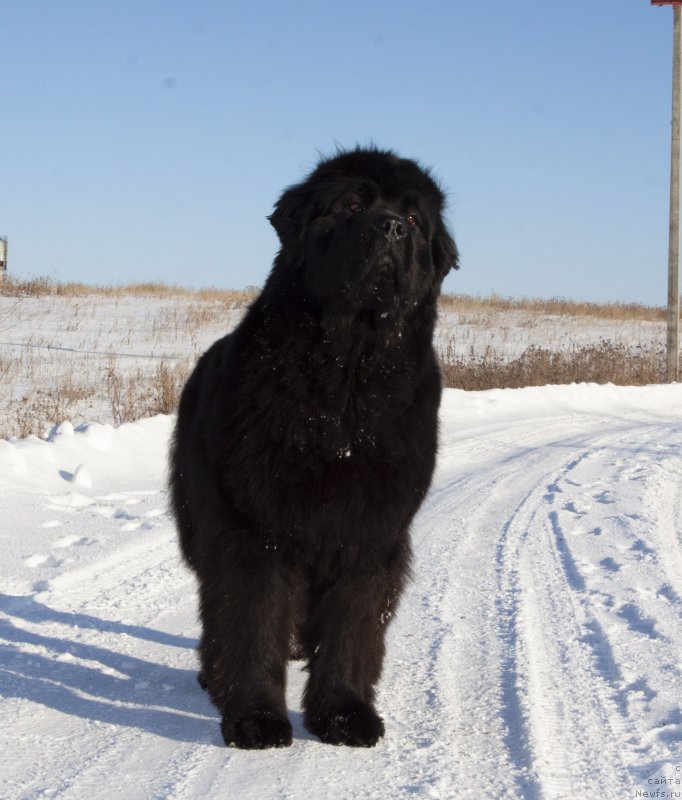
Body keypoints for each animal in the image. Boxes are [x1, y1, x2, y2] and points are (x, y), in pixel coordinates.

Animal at [169, 148, 456, 752]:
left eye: (413, 218)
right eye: (352, 206)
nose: (391, 228)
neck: (345, 382)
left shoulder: (369, 531)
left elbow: (352, 624)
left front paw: (344, 714)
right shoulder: (254, 527)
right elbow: (251, 619)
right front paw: (256, 718)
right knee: (215, 607)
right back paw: (214, 677)